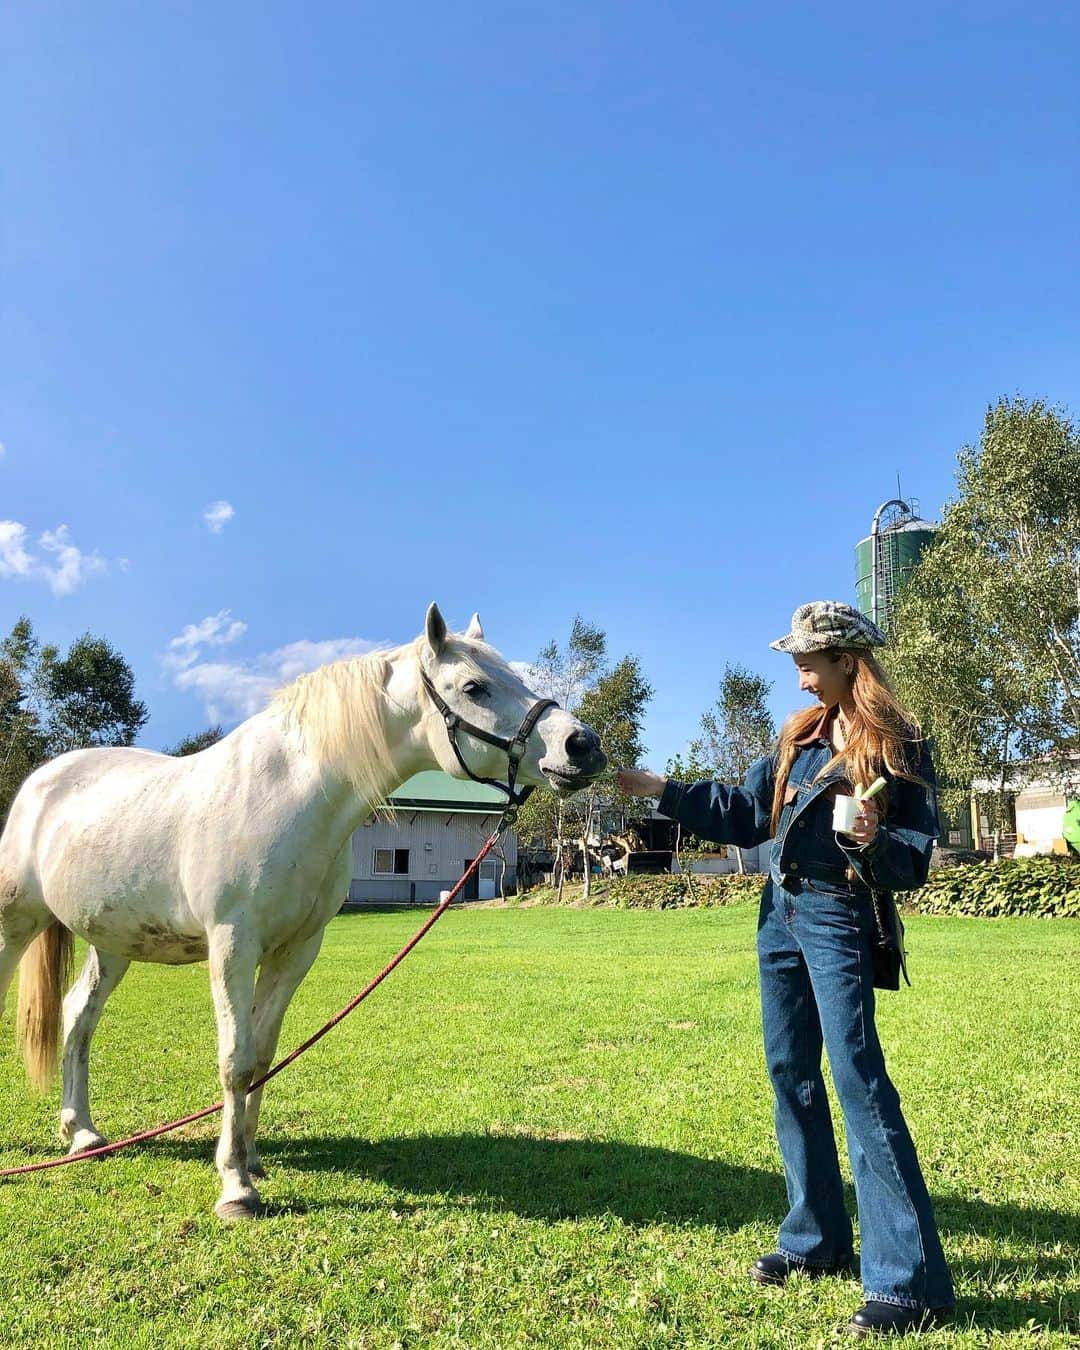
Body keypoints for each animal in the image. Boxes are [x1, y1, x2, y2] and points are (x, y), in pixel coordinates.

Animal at [0, 607, 607, 1220]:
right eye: (474, 687)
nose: (583, 746)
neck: (287, 798)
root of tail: (41, 783)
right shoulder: (232, 946)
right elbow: (235, 1059)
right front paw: (235, 1189)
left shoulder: (297, 950)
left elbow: (262, 1057)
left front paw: (250, 1161)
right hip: (15, 924)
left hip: (114, 943)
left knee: (78, 1017)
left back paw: (83, 1134)